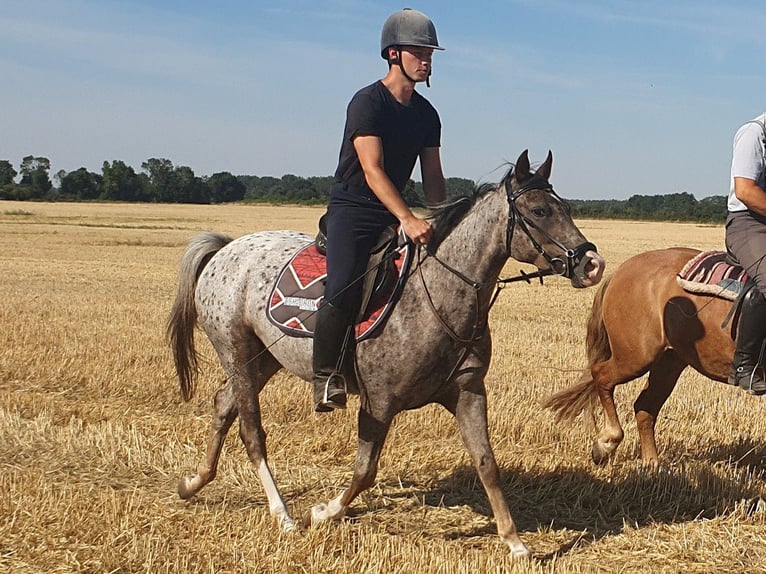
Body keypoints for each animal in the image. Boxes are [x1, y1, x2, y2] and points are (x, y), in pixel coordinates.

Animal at [166, 151, 608, 560]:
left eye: (567, 208)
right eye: (539, 210)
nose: (592, 264)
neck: (438, 295)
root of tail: (227, 249)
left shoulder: (468, 393)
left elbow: (487, 464)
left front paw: (514, 543)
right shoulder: (379, 402)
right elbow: (365, 470)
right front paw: (323, 512)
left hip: (262, 360)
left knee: (223, 405)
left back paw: (192, 483)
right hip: (236, 350)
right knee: (251, 431)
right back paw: (283, 515)